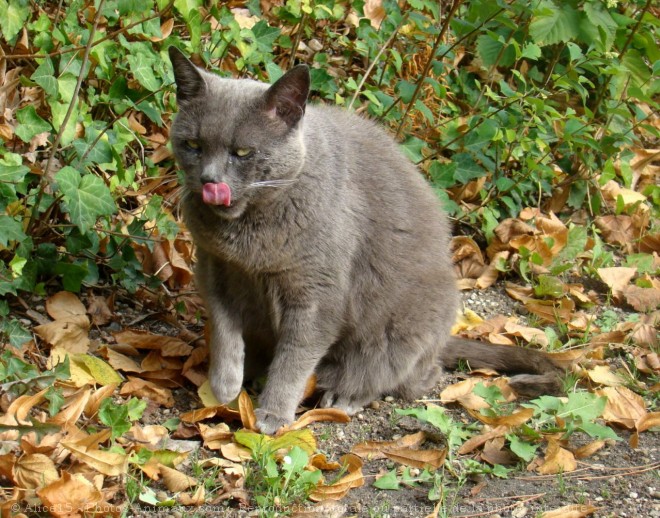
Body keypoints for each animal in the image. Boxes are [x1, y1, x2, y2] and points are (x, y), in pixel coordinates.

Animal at [168, 47, 560, 434]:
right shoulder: (213, 267)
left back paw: (343, 396)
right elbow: (224, 329)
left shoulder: (318, 291)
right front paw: (224, 385)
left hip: (401, 330)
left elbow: (295, 356)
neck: (246, 240)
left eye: (243, 152)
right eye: (193, 145)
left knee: (410, 377)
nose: (209, 180)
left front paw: (273, 415)